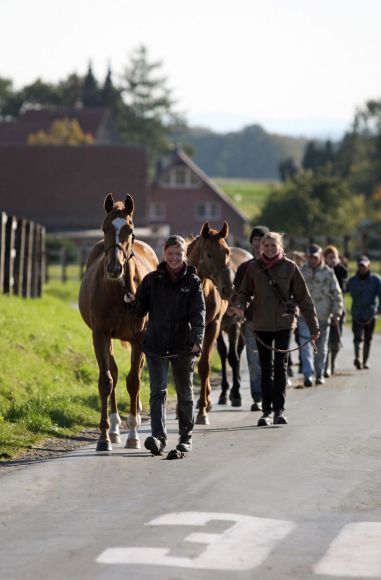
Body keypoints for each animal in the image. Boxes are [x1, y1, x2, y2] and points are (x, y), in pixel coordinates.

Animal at [78, 193, 157, 450]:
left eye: (129, 230)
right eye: (105, 228)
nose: (114, 268)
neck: (119, 291)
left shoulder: (139, 338)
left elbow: (133, 381)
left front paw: (133, 435)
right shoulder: (100, 334)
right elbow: (106, 380)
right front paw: (104, 437)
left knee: (138, 373)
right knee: (112, 371)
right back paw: (113, 429)